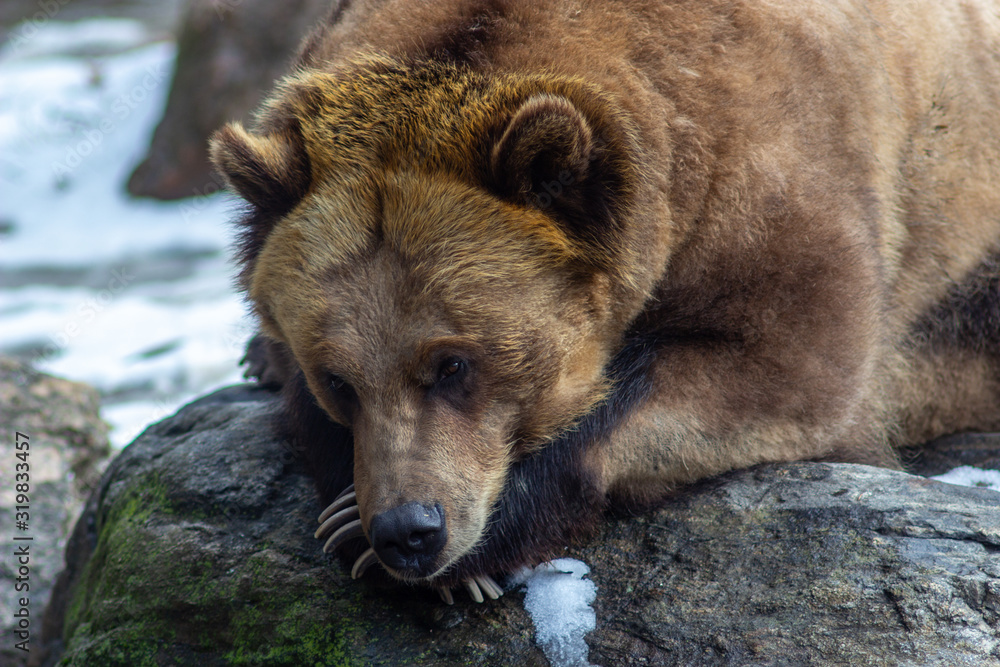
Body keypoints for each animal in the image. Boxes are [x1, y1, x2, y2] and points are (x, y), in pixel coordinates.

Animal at [209, 0, 1000, 604]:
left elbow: (789, 370)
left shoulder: (780, 191)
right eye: (338, 379)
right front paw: (344, 507)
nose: (408, 531)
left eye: (454, 363)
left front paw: (470, 546)